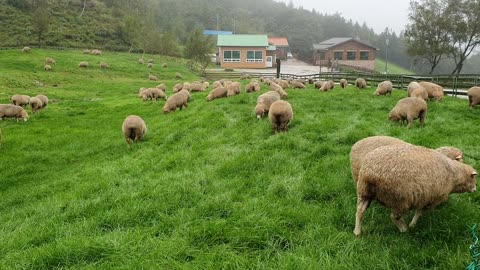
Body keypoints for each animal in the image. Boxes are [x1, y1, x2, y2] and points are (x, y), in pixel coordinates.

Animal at [350, 144, 478, 235]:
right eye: (474, 179)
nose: (475, 190)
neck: (454, 175)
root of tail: (371, 174)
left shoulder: (424, 196)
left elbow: (419, 211)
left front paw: (413, 224)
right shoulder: (431, 198)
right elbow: (420, 212)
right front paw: (415, 224)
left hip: (364, 192)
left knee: (359, 212)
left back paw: (357, 232)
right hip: (400, 200)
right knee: (394, 217)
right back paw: (404, 229)